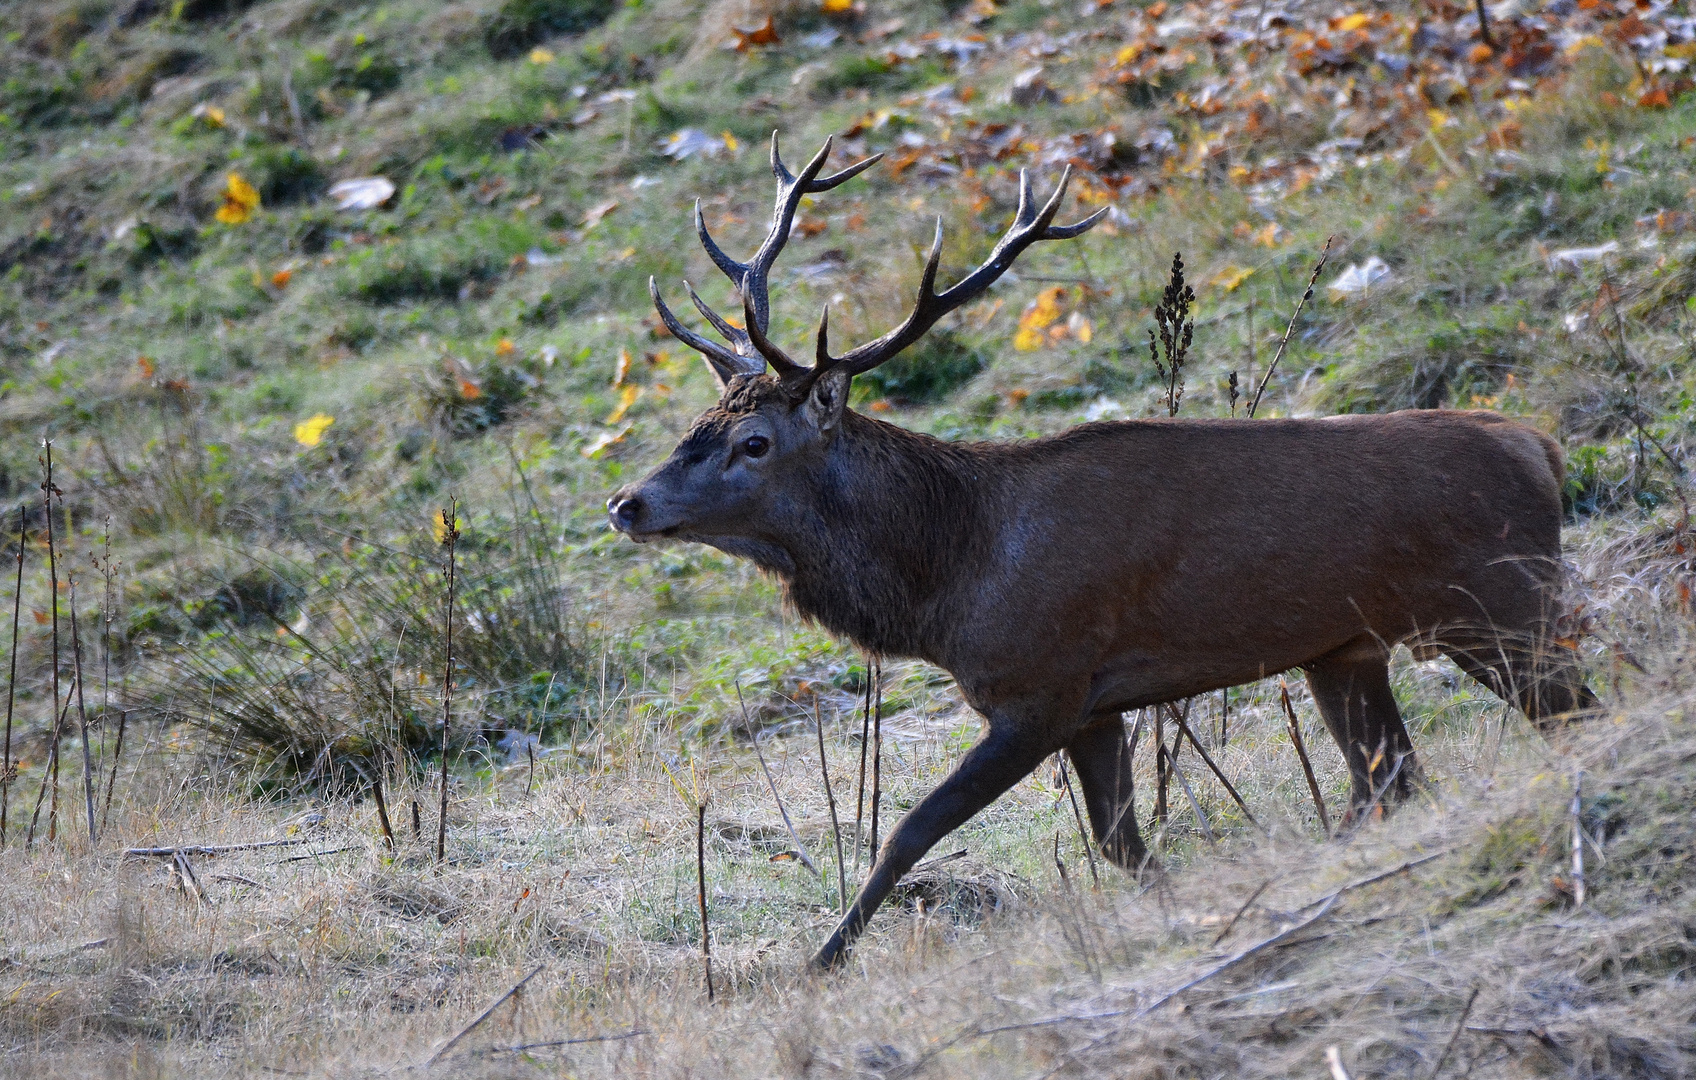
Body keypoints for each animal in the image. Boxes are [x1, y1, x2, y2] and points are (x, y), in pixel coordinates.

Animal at [603, 133, 1594, 969]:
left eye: (755, 442)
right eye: (697, 424)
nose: (626, 502)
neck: (948, 580)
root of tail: (1541, 448)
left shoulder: (1041, 688)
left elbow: (910, 831)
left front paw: (820, 962)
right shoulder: (1096, 707)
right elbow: (1121, 845)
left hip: (1500, 601)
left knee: (1568, 713)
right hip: (1347, 651)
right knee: (1388, 779)